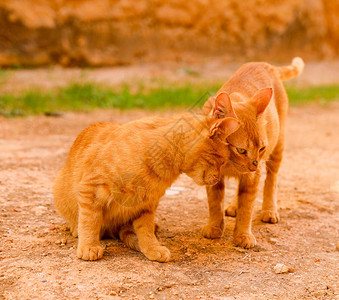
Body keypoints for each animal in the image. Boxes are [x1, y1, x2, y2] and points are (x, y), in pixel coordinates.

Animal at [53, 100, 239, 260]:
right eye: (222, 161)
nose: (218, 178)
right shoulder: (91, 189)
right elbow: (89, 221)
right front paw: (89, 245)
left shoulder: (146, 204)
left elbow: (145, 231)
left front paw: (152, 247)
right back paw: (77, 229)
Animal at [202, 57, 306, 247]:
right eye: (241, 150)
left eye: (261, 148)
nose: (255, 165)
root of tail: (263, 63)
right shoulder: (212, 176)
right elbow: (214, 203)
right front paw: (214, 227)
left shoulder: (252, 177)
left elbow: (247, 206)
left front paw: (243, 235)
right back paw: (233, 206)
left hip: (278, 147)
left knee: (271, 180)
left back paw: (269, 210)